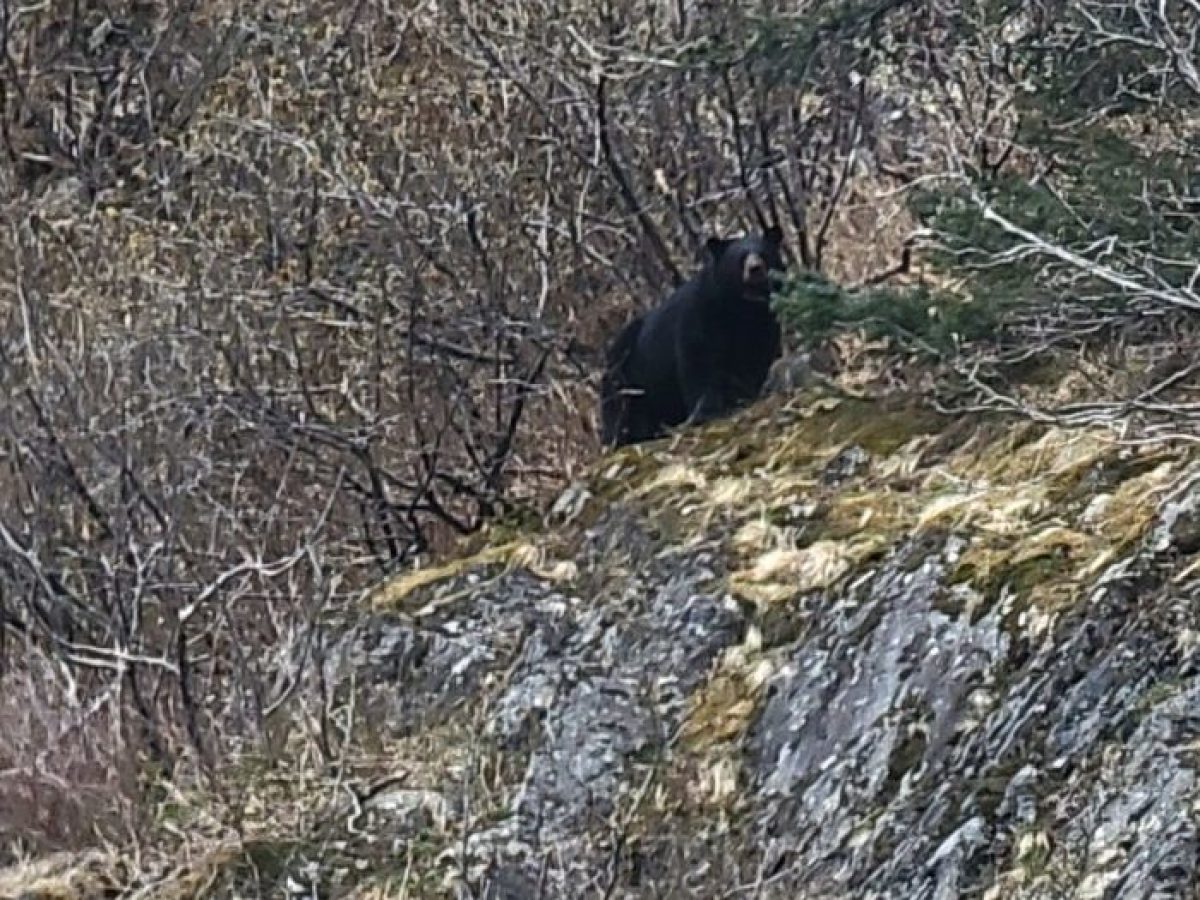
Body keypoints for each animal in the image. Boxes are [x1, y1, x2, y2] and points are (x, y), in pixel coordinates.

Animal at [600, 225, 787, 448]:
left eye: (763, 253)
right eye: (740, 258)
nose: (755, 269)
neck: (742, 308)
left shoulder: (765, 322)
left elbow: (755, 358)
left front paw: (744, 396)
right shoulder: (701, 312)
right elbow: (699, 359)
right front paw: (707, 411)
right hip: (626, 371)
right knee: (619, 404)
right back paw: (621, 437)